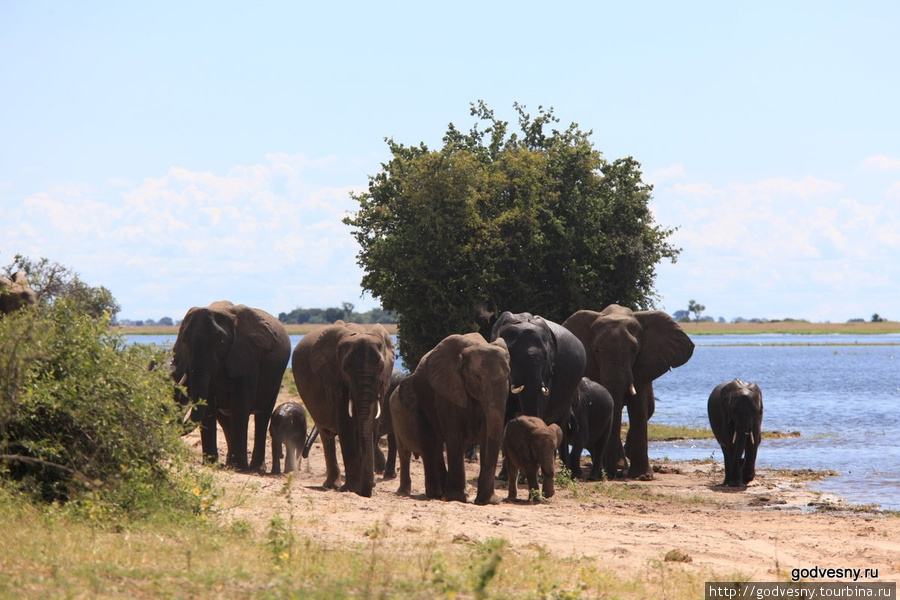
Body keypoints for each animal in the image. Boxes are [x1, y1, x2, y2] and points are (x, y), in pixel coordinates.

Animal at [171, 302, 290, 472]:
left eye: (221, 341)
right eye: (184, 339)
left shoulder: (247, 357)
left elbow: (241, 403)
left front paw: (240, 468)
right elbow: (208, 406)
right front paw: (211, 464)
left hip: (275, 378)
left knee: (263, 416)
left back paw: (255, 467)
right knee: (225, 419)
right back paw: (229, 463)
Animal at [292, 322, 394, 500]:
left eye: (381, 367)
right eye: (345, 368)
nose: (365, 493)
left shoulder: (382, 383)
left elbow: (372, 424)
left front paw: (367, 485)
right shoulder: (334, 380)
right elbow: (346, 425)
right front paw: (352, 488)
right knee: (326, 436)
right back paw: (332, 485)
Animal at [390, 332, 510, 506]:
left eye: (508, 376)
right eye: (477, 376)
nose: (483, 501)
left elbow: (487, 436)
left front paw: (487, 501)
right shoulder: (447, 390)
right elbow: (455, 435)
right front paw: (458, 498)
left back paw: (440, 492)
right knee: (429, 444)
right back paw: (435, 493)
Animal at [564, 304, 696, 478]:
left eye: (634, 350)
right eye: (597, 350)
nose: (613, 474)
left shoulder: (643, 366)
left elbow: (639, 408)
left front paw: (642, 477)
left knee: (648, 410)